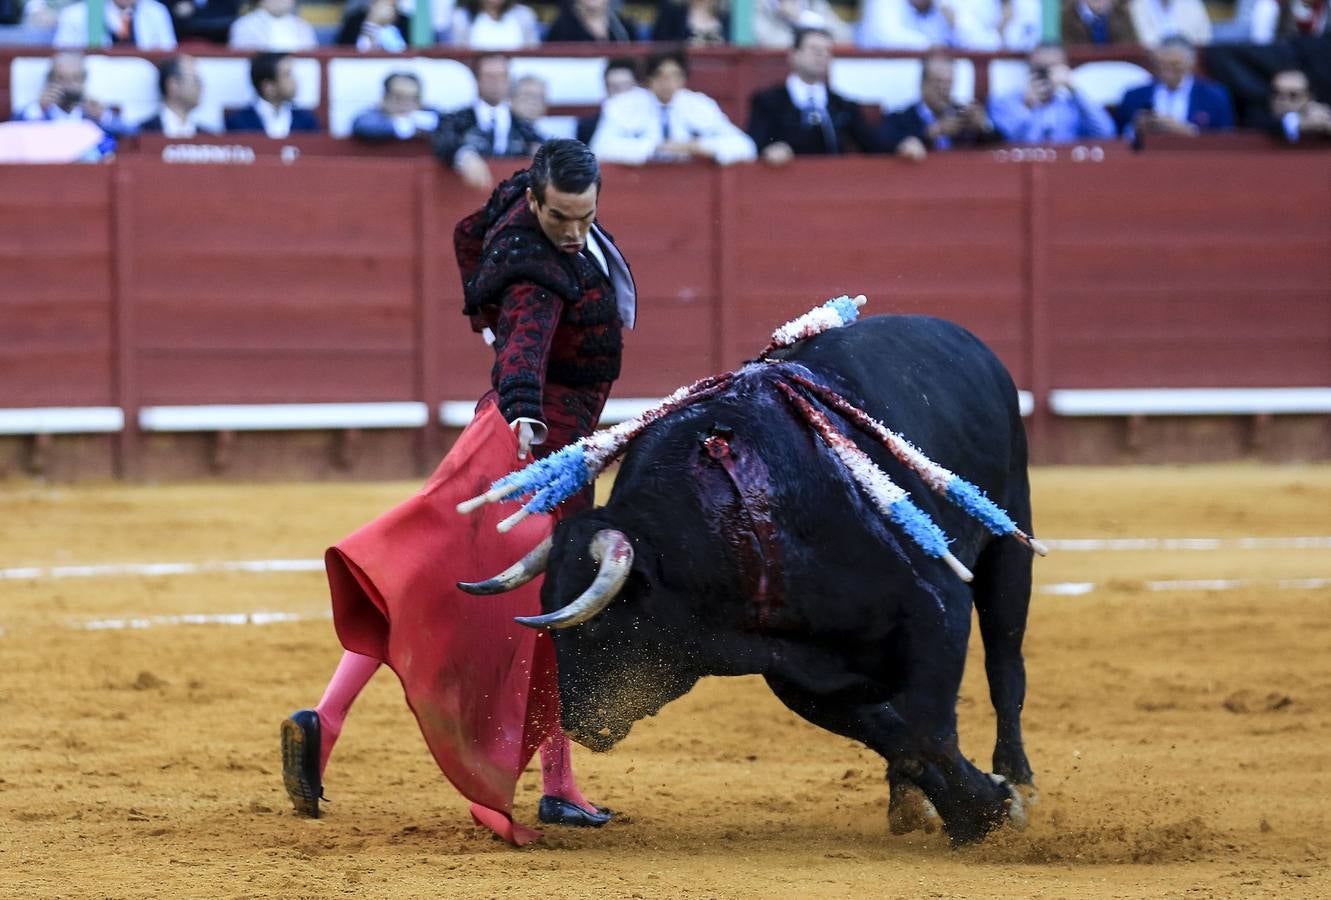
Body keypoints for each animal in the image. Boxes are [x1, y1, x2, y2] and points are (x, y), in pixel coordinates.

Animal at [468, 314, 1038, 841]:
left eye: (596, 626)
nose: (579, 721)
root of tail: (962, 338)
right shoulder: (802, 677)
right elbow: (897, 735)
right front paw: (964, 811)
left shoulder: (937, 611)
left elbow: (928, 734)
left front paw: (993, 810)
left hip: (1011, 540)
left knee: (1005, 667)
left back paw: (1020, 781)